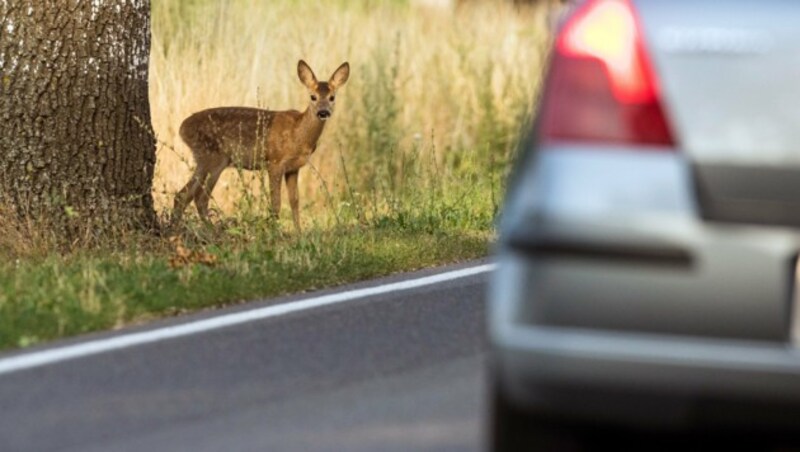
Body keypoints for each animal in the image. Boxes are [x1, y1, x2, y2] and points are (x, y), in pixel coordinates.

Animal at [170, 59, 348, 233]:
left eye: (332, 97)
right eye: (313, 97)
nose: (323, 112)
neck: (298, 134)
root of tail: (182, 128)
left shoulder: (293, 168)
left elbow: (294, 201)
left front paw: (299, 234)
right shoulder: (275, 162)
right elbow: (276, 203)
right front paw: (275, 233)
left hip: (203, 160)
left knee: (183, 195)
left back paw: (175, 228)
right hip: (214, 158)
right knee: (200, 197)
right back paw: (210, 231)